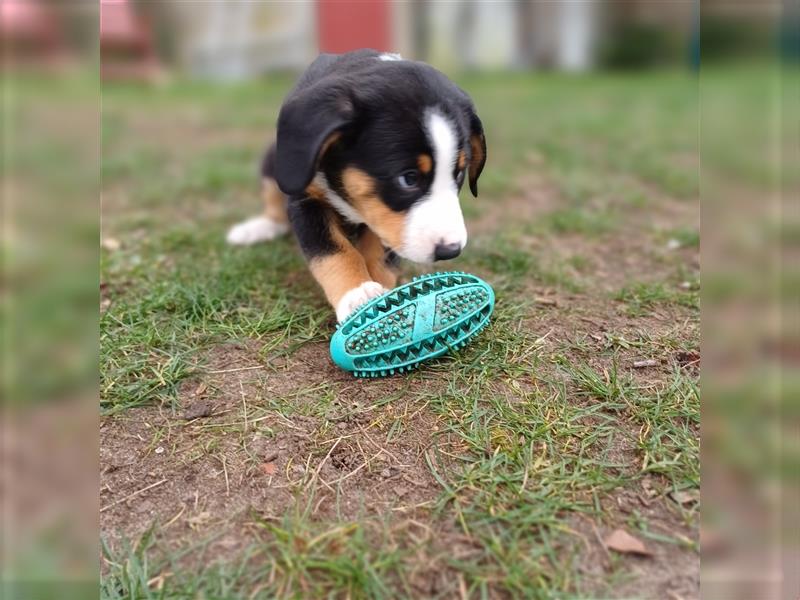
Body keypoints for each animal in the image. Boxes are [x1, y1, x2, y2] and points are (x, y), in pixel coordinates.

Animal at [227, 49, 488, 324]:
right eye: (408, 178)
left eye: (459, 173)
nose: (450, 250)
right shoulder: (305, 198)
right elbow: (333, 251)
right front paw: (357, 293)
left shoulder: (382, 219)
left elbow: (380, 252)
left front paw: (386, 298)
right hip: (275, 161)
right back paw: (256, 229)